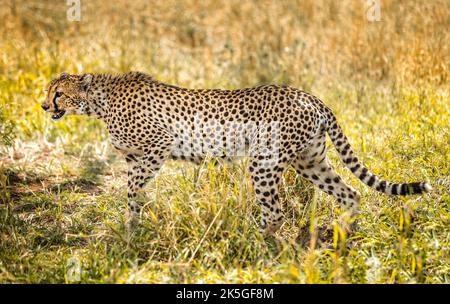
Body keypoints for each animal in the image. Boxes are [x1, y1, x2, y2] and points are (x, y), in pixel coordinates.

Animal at [42, 72, 432, 234]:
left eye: (58, 93)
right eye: (49, 91)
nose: (45, 106)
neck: (99, 102)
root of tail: (311, 97)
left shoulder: (158, 147)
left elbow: (133, 188)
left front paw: (133, 223)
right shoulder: (135, 157)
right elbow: (134, 192)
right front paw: (135, 224)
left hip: (264, 163)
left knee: (275, 210)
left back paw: (258, 241)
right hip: (310, 160)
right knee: (350, 194)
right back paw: (340, 238)